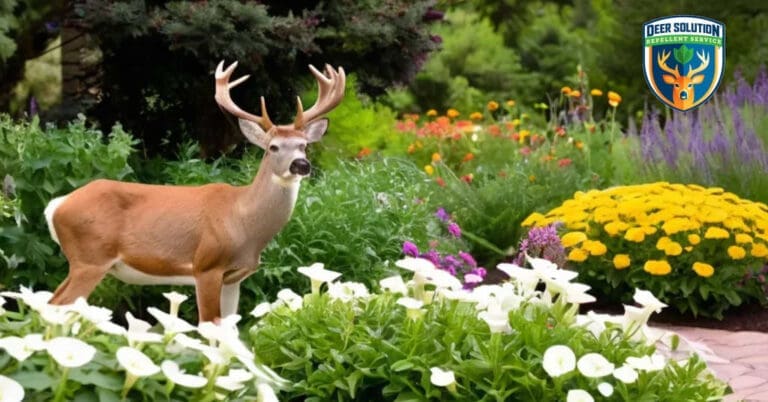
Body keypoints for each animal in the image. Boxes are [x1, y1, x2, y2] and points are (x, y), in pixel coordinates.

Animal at [44, 59, 344, 322]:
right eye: (273, 147)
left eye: (304, 145)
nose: (301, 165)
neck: (242, 221)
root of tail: (56, 205)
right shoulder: (206, 265)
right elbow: (208, 326)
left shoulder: (234, 277)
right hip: (90, 257)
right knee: (57, 304)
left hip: (82, 260)